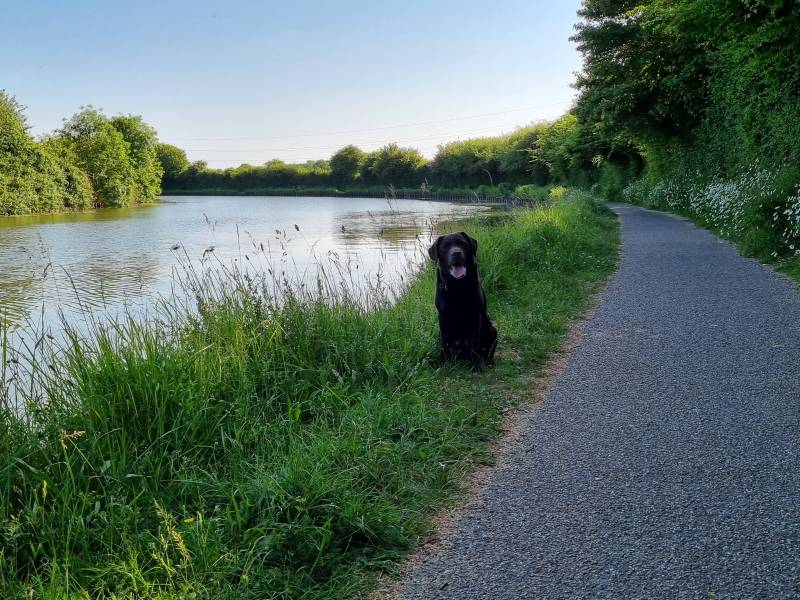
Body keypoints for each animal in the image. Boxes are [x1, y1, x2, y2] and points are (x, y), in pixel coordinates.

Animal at [428, 231, 496, 368]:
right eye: (445, 247)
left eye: (463, 244)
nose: (456, 253)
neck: (457, 286)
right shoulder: (442, 317)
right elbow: (444, 343)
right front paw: (444, 363)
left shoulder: (474, 315)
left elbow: (474, 343)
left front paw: (476, 365)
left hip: (491, 328)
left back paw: (488, 361)